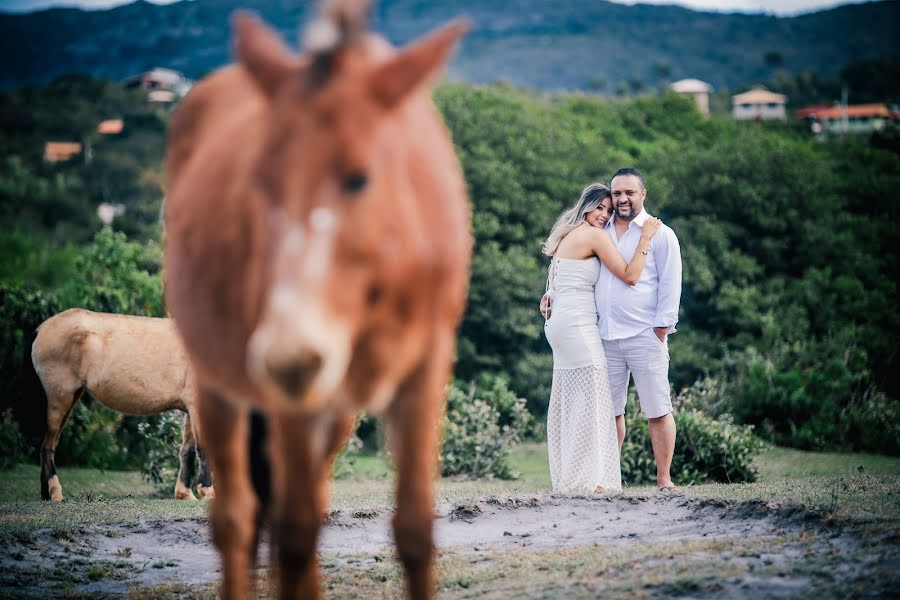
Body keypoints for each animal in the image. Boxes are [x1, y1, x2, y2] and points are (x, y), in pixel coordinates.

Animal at [26, 310, 213, 502]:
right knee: (47, 447)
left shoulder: (191, 409)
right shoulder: (198, 404)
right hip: (60, 399)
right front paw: (208, 491)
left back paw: (46, 495)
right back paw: (56, 494)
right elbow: (203, 448)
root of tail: (41, 328)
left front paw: (185, 494)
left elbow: (188, 451)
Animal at [163, 1, 472, 596]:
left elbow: (415, 530)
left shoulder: (424, 370)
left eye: (359, 177)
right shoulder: (289, 399)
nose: (290, 355)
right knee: (239, 518)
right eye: (259, 181)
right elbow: (294, 531)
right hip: (219, 390)